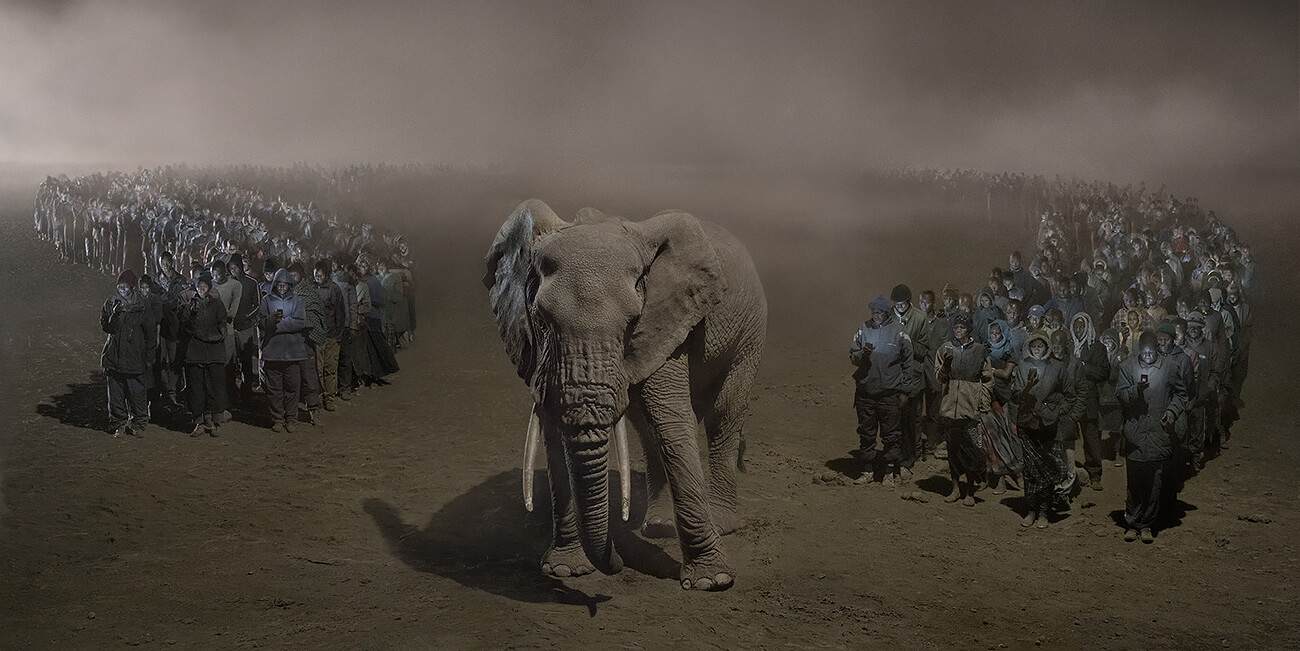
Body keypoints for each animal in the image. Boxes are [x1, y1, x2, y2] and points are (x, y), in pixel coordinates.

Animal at [486, 197, 764, 589]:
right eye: (540, 320)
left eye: (632, 323)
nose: (617, 562)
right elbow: (557, 432)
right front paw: (565, 570)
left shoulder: (667, 319)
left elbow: (671, 420)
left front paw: (713, 581)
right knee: (645, 430)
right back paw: (659, 526)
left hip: (750, 333)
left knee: (722, 416)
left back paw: (721, 524)